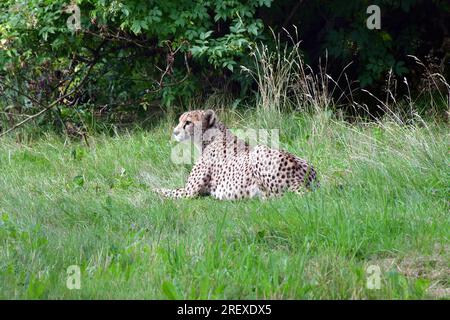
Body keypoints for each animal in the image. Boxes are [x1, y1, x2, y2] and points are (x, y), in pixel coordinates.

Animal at [155, 110, 320, 200]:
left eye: (188, 122)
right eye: (179, 121)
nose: (175, 132)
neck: (211, 137)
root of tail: (299, 176)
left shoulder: (189, 192)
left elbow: (166, 191)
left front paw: (152, 192)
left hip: (259, 151)